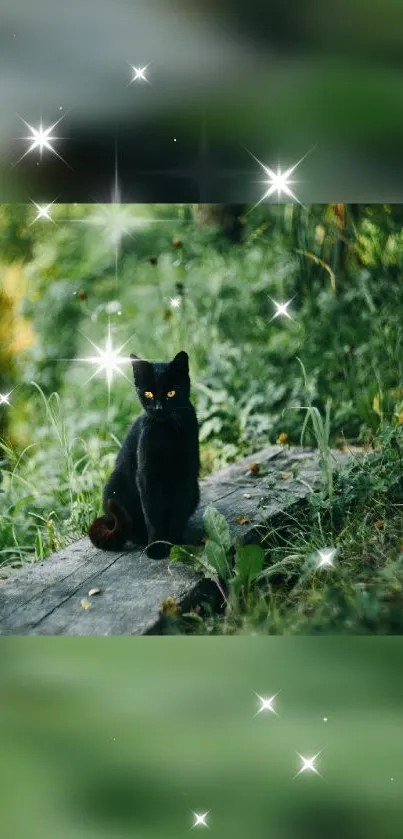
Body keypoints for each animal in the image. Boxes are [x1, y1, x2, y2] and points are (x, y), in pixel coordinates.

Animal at [89, 352, 200, 560]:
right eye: (148, 394)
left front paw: (175, 544)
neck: (167, 433)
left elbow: (178, 513)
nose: (158, 408)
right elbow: (153, 515)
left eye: (171, 393)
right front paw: (157, 547)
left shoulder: (186, 475)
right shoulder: (146, 476)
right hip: (114, 487)